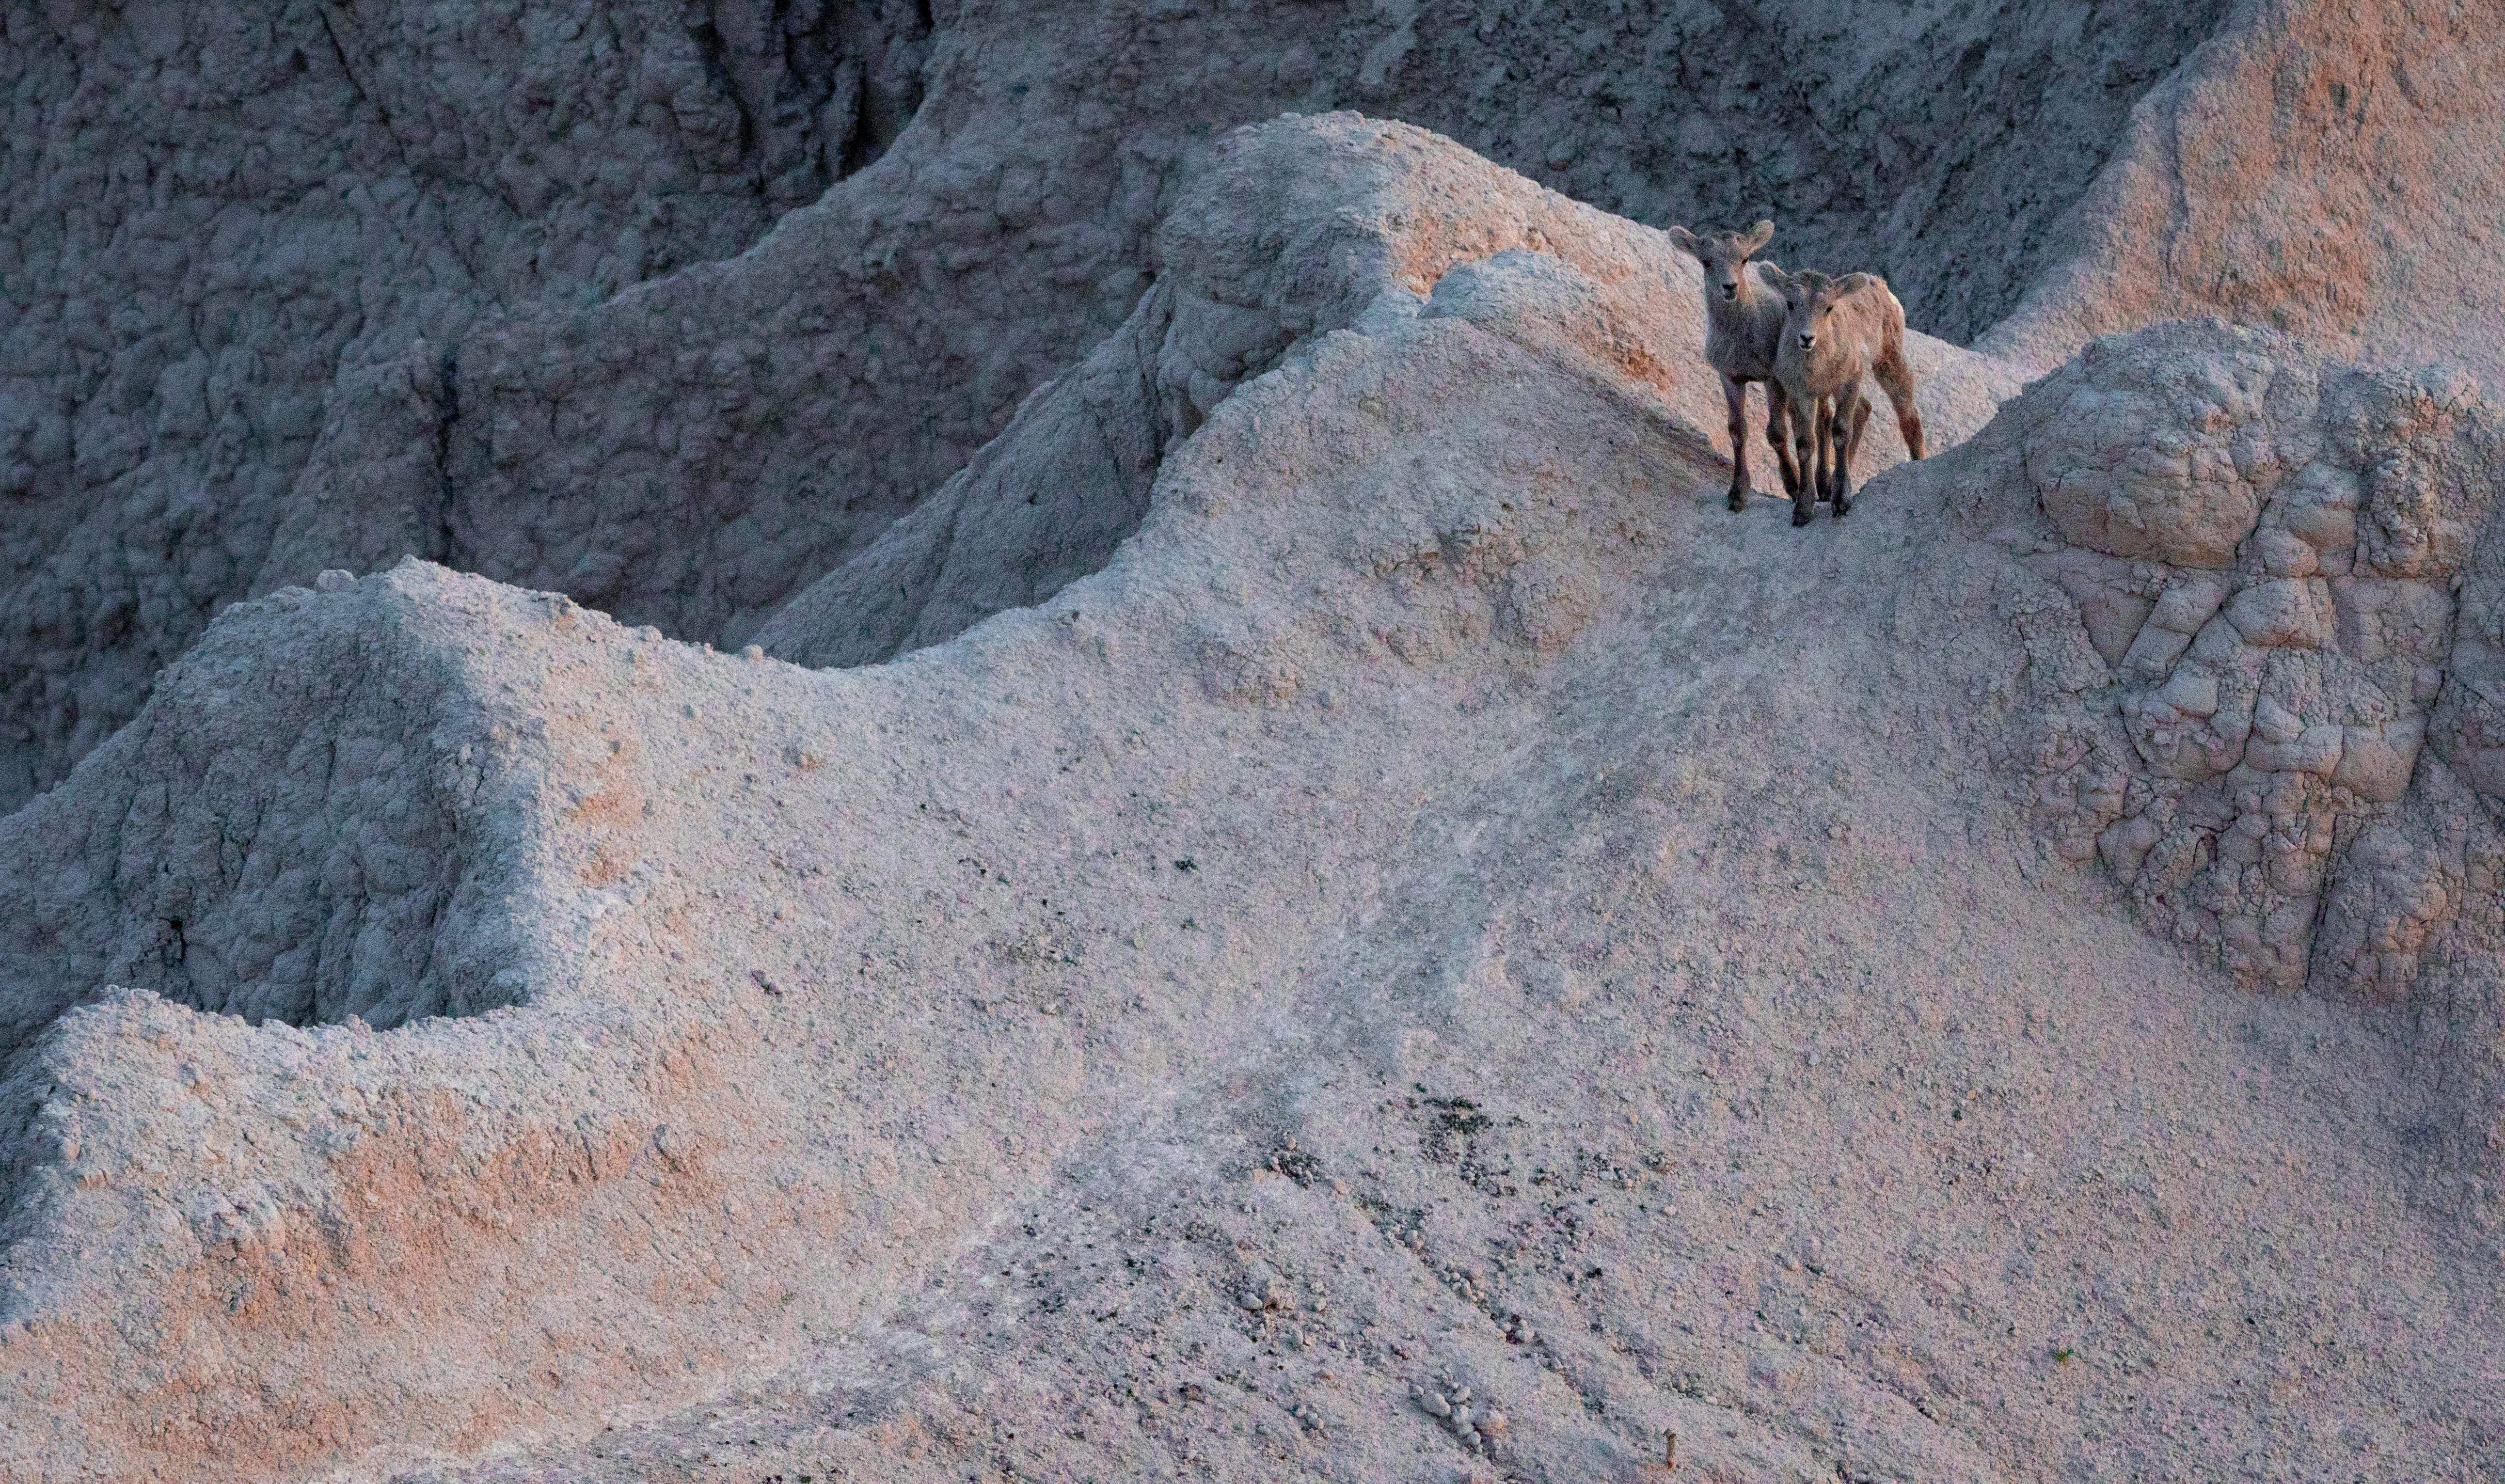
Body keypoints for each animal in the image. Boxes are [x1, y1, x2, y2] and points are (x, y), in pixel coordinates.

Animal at [1663, 219, 1803, 511]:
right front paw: (1737, 494)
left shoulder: (1772, 377)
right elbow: (1737, 431)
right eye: (1706, 262)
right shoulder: (1730, 376)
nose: (1730, 287)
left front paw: (1794, 488)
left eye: (1744, 259)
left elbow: (1777, 433)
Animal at [1773, 267, 1924, 526]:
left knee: (1907, 411)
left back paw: (1918, 462)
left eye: (1829, 307)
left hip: (1887, 358)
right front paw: (1803, 511)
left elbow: (1841, 432)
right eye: (1790, 304)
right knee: (1863, 407)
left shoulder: (1848, 382)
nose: (1807, 338)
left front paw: (1841, 502)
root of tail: (1882, 286)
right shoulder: (1801, 394)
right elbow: (1805, 443)